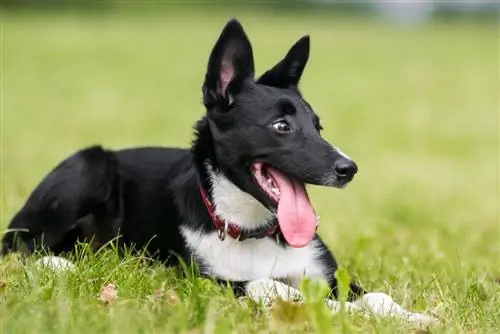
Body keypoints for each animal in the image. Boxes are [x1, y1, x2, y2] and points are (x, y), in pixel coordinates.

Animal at [1, 18, 436, 326]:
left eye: (319, 127)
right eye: (281, 126)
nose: (349, 169)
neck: (255, 230)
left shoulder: (327, 275)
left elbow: (375, 297)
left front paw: (412, 317)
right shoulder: (206, 280)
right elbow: (270, 286)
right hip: (89, 165)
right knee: (21, 245)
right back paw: (58, 263)